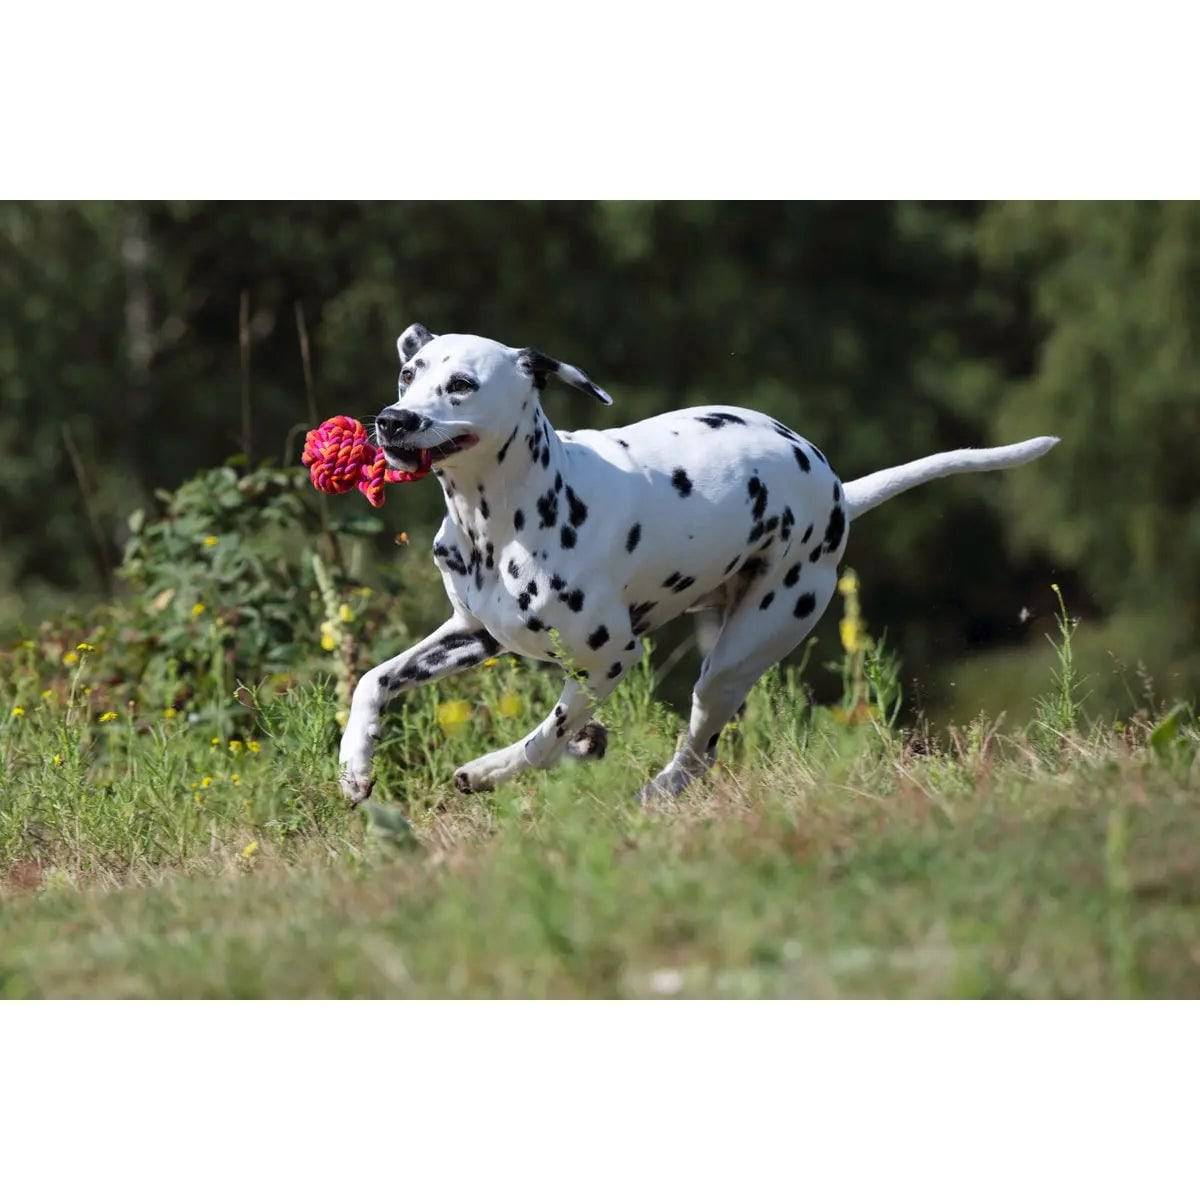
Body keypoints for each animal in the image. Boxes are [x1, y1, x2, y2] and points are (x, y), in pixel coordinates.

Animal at [333, 324, 1056, 801]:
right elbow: (372, 679)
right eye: (409, 374)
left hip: (732, 663)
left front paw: (490, 770)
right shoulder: (472, 636)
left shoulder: (611, 658)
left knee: (698, 751)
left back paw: (655, 792)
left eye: (461, 384)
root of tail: (839, 491)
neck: (501, 523)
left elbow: (544, 737)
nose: (392, 420)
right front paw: (354, 764)